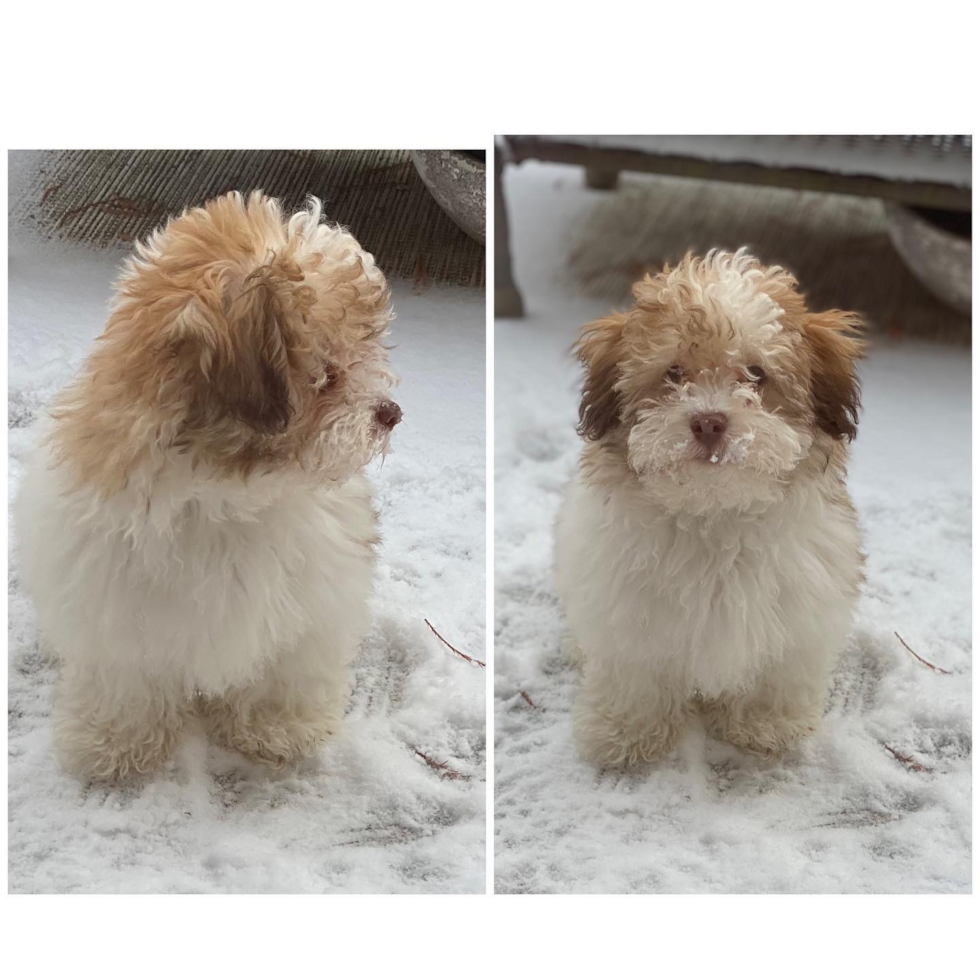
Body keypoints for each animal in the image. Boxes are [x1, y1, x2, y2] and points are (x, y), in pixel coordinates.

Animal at [14, 191, 402, 780]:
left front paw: (276, 728)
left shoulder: (309, 598)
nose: (390, 412)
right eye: (328, 374)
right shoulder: (113, 601)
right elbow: (125, 678)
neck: (225, 494)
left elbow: (283, 666)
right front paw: (114, 741)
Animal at [556, 251, 860, 764]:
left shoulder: (798, 606)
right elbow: (635, 669)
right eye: (674, 374)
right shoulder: (628, 605)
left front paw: (764, 722)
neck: (715, 513)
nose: (709, 422)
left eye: (756, 374)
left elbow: (777, 667)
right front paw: (627, 730)